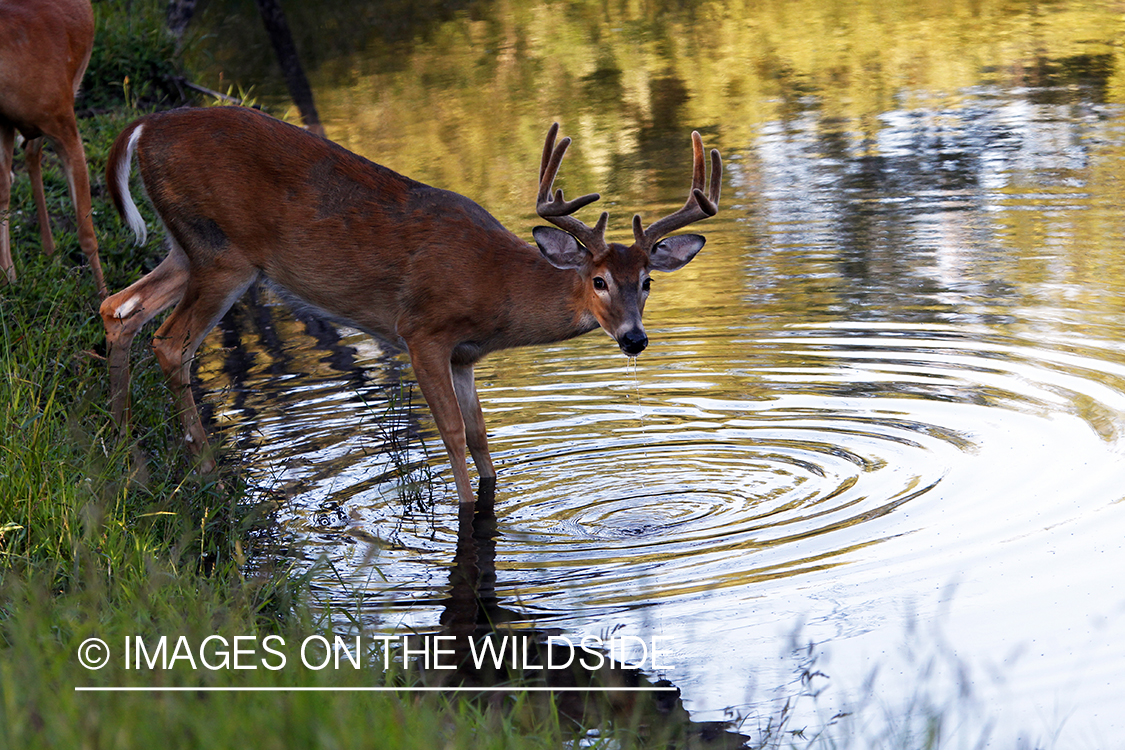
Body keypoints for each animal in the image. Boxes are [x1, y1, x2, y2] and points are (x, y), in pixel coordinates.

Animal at [103, 105, 720, 503]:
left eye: (647, 281)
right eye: (597, 281)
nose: (634, 339)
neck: (497, 285)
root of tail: (145, 124)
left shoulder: (467, 355)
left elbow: (480, 436)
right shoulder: (422, 331)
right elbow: (450, 435)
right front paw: (465, 507)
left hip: (187, 247)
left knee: (118, 308)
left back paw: (126, 455)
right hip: (222, 253)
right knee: (170, 344)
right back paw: (207, 476)